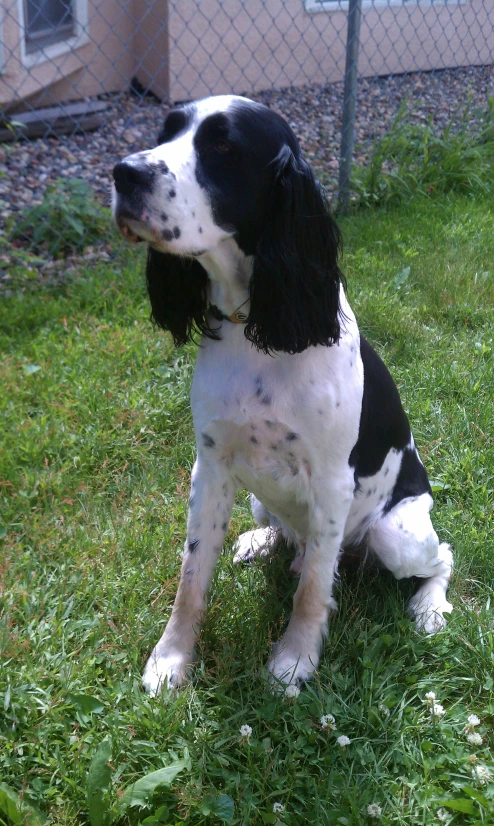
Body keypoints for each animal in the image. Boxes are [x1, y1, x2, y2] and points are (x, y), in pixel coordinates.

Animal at [111, 93, 452, 692]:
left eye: (223, 147)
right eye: (166, 131)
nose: (123, 173)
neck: (255, 324)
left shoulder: (333, 482)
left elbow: (314, 588)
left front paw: (294, 661)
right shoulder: (211, 465)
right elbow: (191, 577)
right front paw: (171, 660)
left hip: (397, 533)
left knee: (441, 558)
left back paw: (429, 607)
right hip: (253, 494)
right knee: (284, 532)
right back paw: (260, 541)